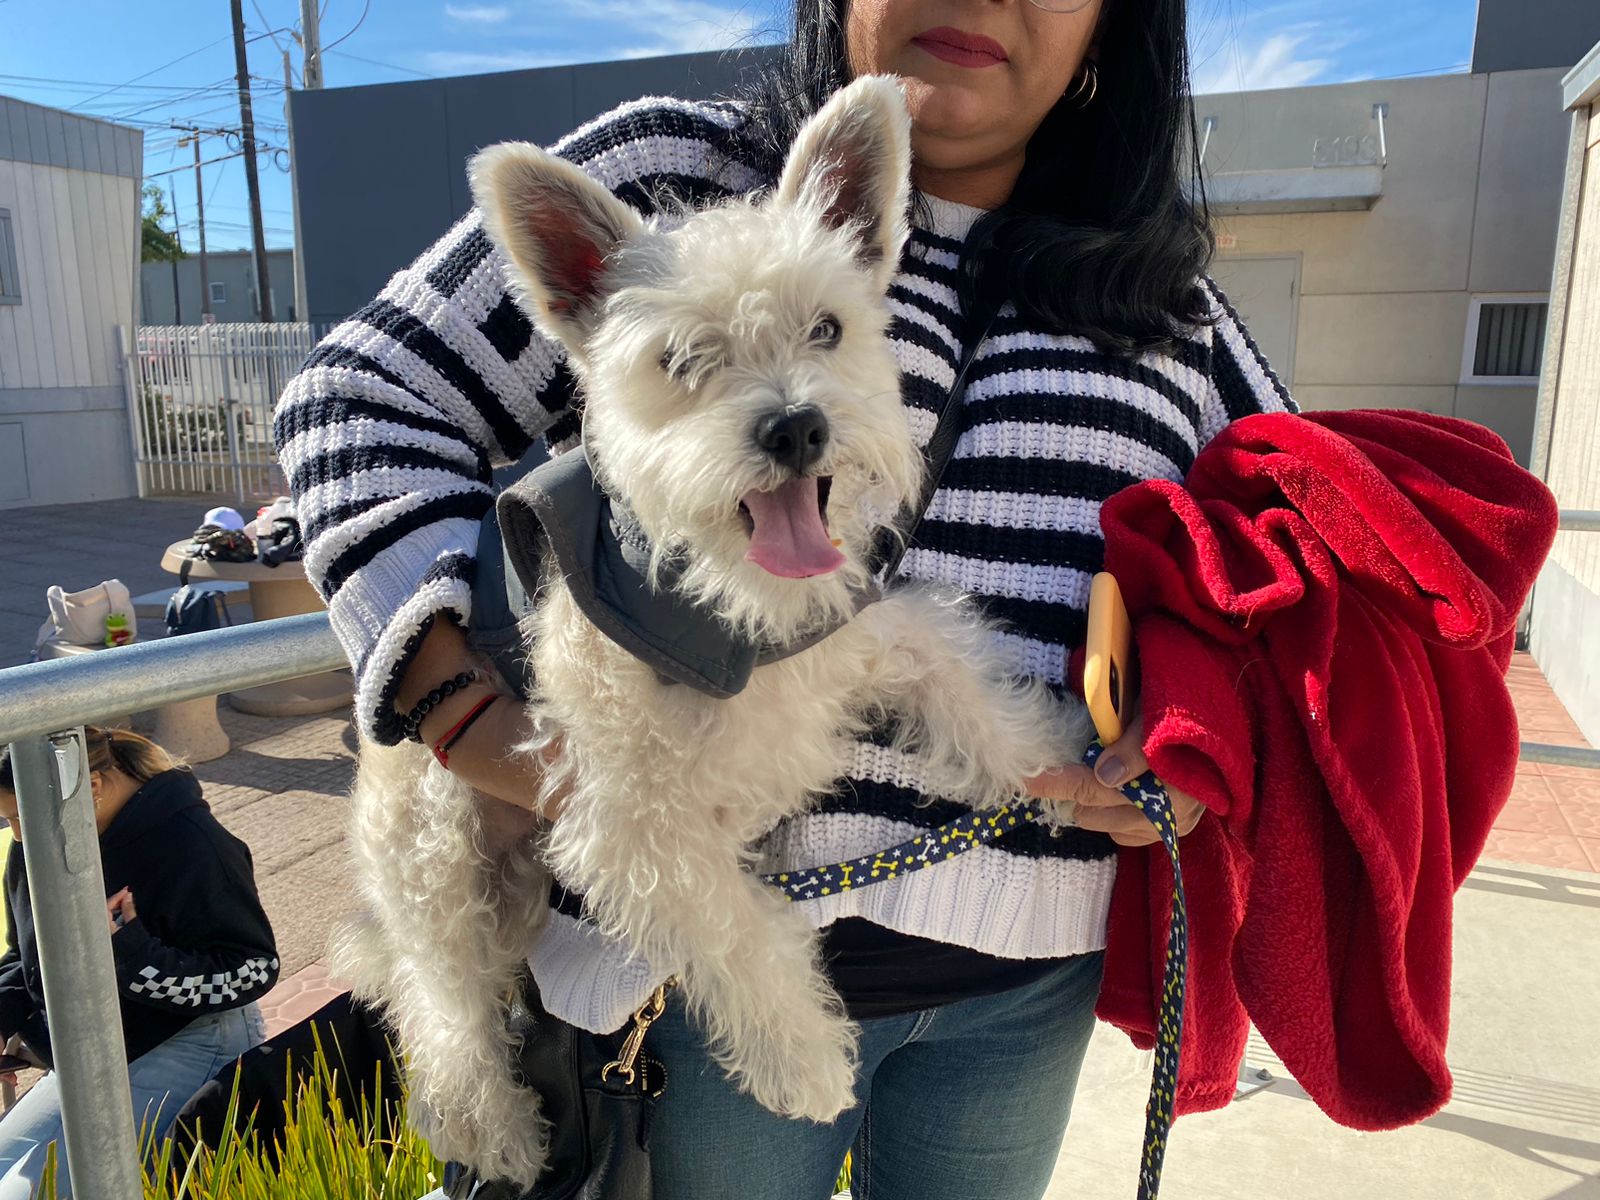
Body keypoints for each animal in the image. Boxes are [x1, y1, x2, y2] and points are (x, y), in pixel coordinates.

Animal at [334, 77, 1088, 1196]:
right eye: (681, 359)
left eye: (827, 326)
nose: (795, 426)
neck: (732, 610)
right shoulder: (634, 824)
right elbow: (735, 933)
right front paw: (805, 1058)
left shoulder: (867, 636)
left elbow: (964, 683)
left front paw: (1056, 768)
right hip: (440, 855)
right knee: (441, 1014)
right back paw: (495, 1127)